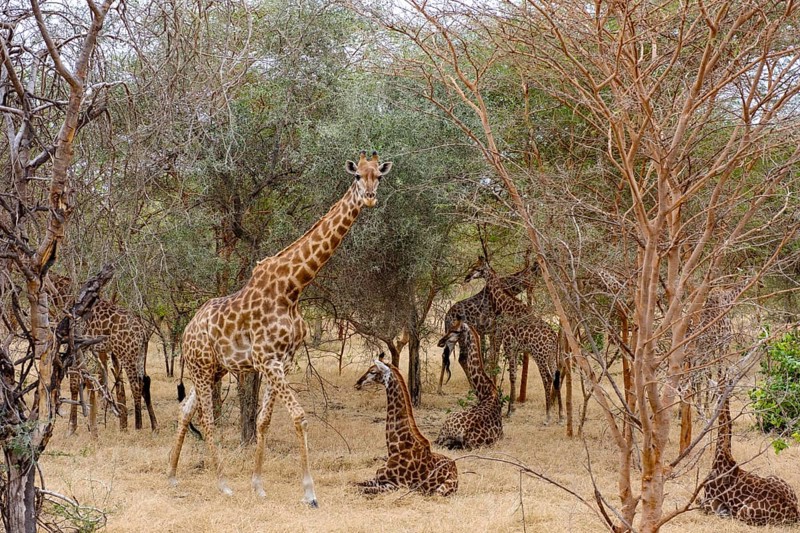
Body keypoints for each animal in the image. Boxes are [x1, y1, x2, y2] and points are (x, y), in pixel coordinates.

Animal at [168, 151, 392, 505]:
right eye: (358, 176)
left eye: (378, 177)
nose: (369, 197)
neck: (292, 287)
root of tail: (188, 329)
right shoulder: (267, 359)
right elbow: (299, 416)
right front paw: (309, 493)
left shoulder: (282, 361)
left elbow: (264, 421)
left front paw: (258, 485)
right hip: (201, 367)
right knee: (206, 417)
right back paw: (222, 483)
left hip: (213, 368)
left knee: (185, 411)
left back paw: (172, 476)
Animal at [354, 359, 458, 496]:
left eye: (373, 371)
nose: (357, 383)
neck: (396, 447)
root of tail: (455, 469)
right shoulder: (376, 479)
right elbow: (353, 483)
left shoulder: (396, 486)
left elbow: (360, 489)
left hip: (441, 489)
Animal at [439, 260, 538, 394]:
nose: (467, 277)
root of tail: (446, 317)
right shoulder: (496, 331)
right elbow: (493, 358)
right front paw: (493, 384)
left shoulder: (489, 332)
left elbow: (491, 357)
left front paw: (491, 381)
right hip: (458, 337)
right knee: (459, 358)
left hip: (454, 337)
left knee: (448, 356)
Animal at [465, 257, 562, 422]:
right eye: (472, 266)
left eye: (477, 268)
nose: (467, 277)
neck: (505, 306)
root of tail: (554, 339)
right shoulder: (516, 348)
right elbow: (514, 375)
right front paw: (513, 408)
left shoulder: (509, 345)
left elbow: (511, 376)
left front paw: (510, 410)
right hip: (551, 357)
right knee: (556, 377)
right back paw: (561, 415)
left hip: (540, 356)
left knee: (547, 378)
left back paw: (548, 416)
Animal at [699, 386, 798, 525]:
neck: (722, 456)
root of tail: (795, 512)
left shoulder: (708, 500)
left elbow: (701, 503)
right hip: (773, 477)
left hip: (744, 512)